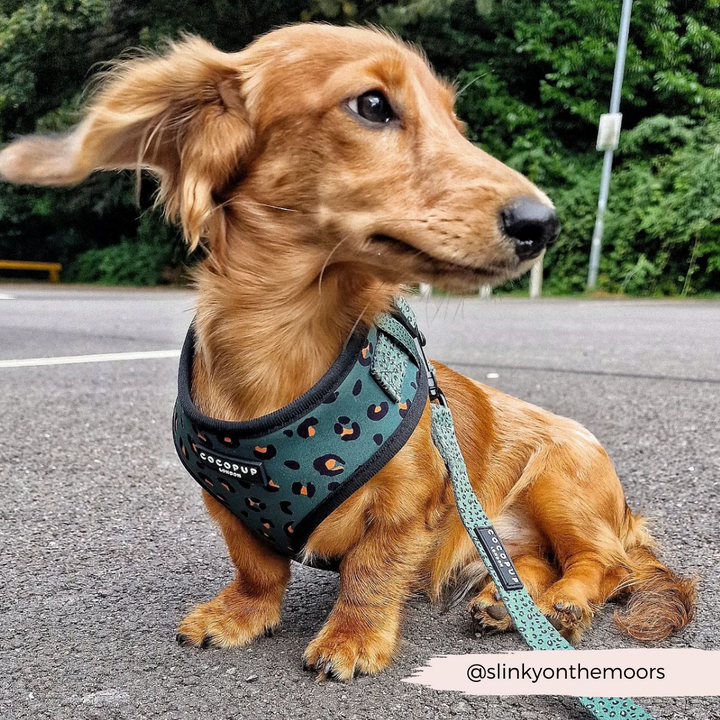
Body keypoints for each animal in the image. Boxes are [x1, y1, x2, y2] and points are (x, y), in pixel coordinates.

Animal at [1, 23, 696, 680]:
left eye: (455, 123)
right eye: (372, 104)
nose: (542, 225)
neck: (287, 341)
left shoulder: (407, 507)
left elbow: (371, 573)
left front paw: (352, 639)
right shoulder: (225, 503)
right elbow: (256, 568)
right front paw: (240, 615)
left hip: (562, 482)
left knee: (600, 562)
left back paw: (566, 605)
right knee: (526, 560)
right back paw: (507, 603)